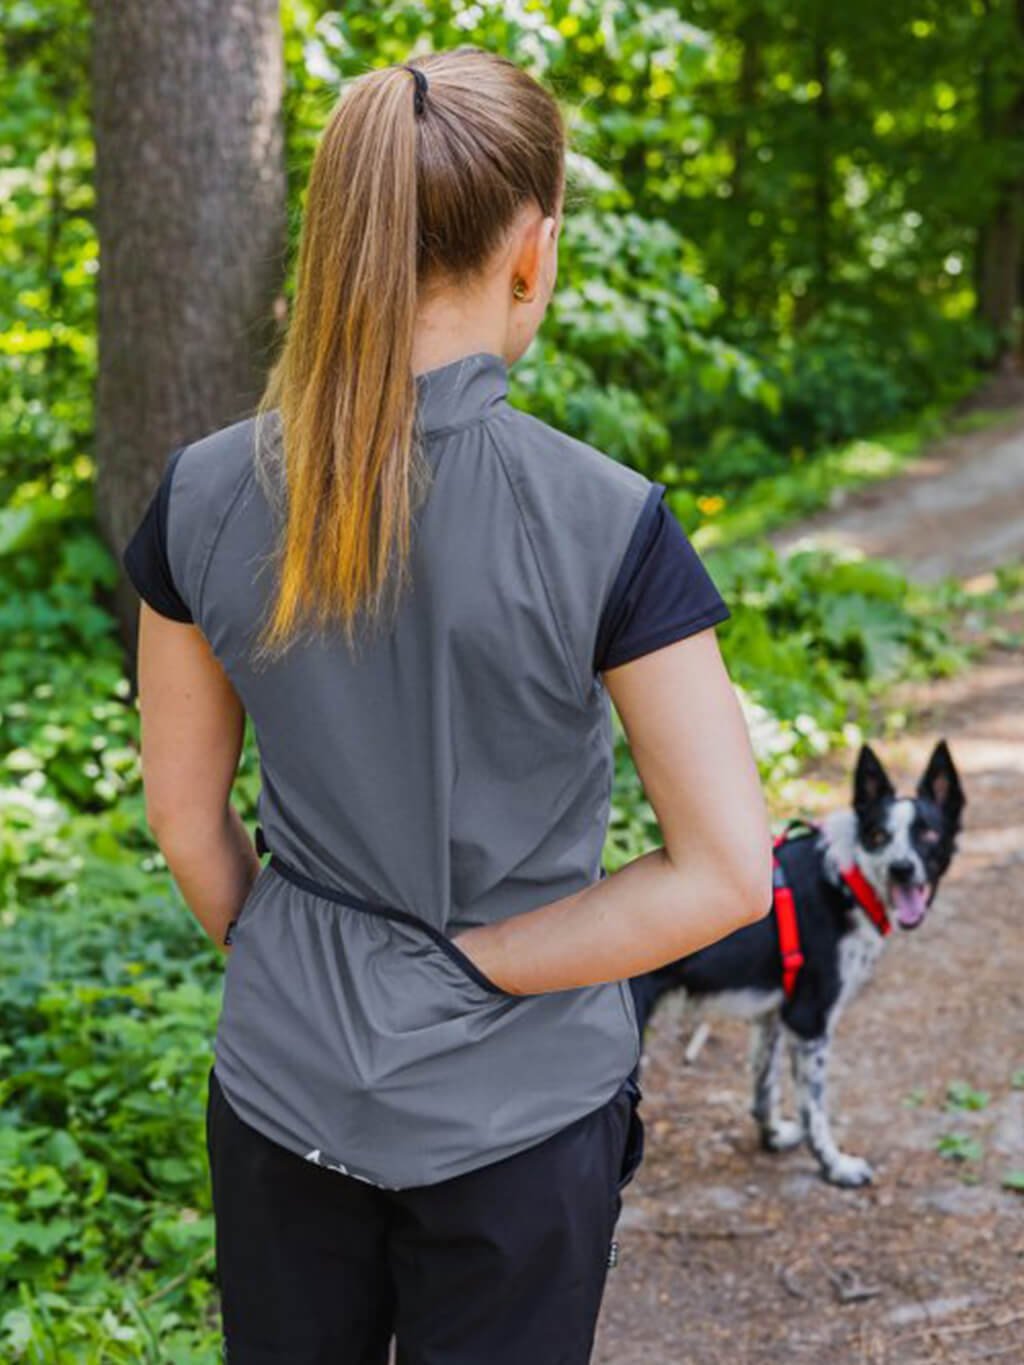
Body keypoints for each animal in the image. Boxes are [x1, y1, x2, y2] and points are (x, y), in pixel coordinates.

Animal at [630, 748, 966, 1184]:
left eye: (928, 834)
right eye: (879, 836)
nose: (902, 869)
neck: (848, 881)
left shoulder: (774, 1013)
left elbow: (764, 1084)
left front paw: (772, 1136)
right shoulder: (810, 1021)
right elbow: (814, 1110)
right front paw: (835, 1165)